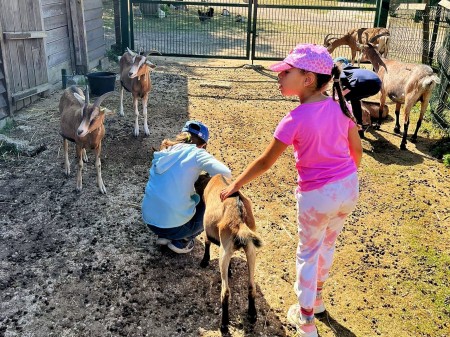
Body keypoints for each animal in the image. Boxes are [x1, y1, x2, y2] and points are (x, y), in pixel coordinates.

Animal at [195, 175, 262, 332]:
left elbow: (207, 242)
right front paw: (231, 270)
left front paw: (205, 261)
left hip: (224, 250)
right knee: (251, 286)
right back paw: (252, 315)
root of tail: (240, 220)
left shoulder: (208, 231)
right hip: (250, 249)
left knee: (225, 292)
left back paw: (224, 325)